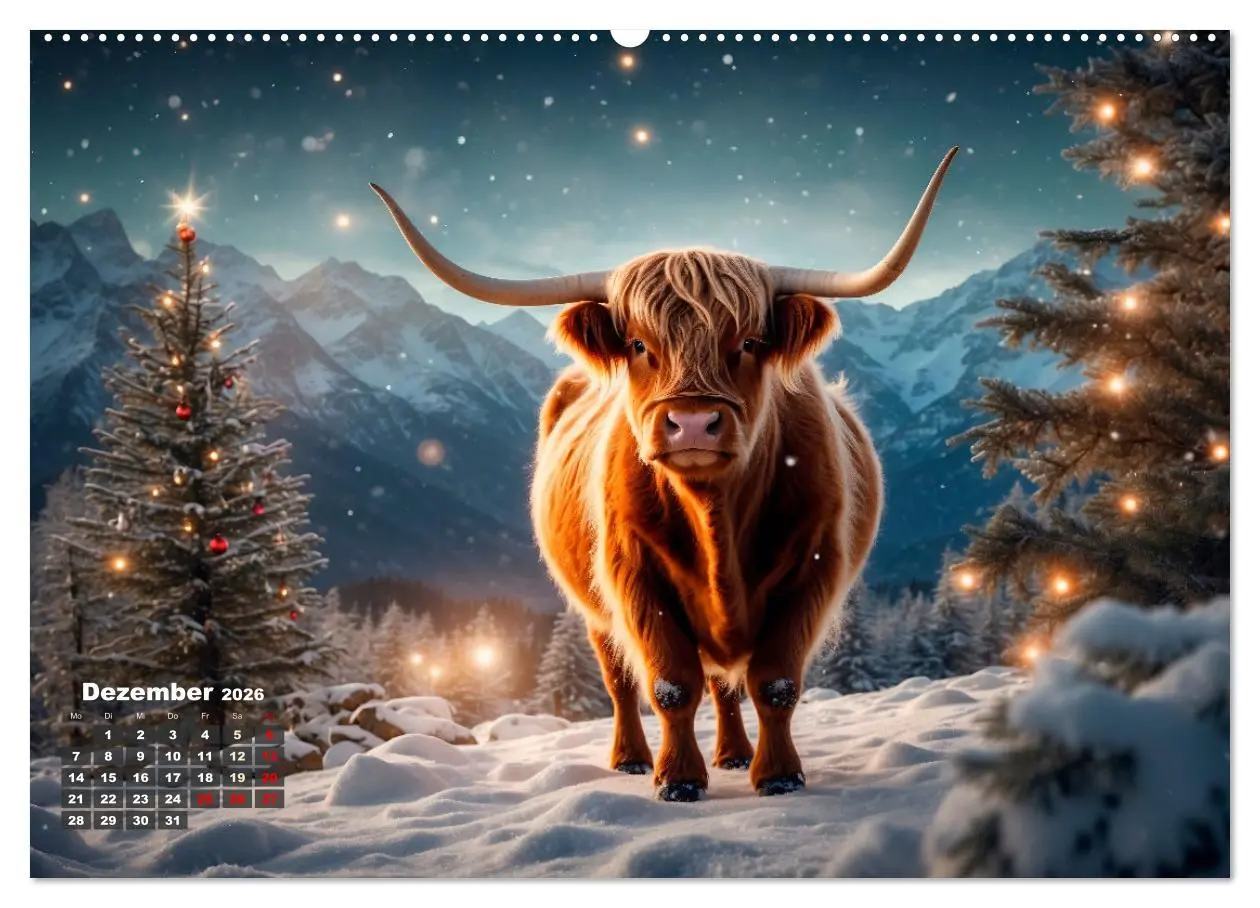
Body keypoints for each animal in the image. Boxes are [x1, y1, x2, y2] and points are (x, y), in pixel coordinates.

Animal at [369, 147, 958, 801]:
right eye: (637, 344)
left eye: (748, 341)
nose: (694, 423)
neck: (715, 517)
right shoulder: (632, 572)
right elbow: (670, 683)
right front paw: (676, 780)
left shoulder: (814, 567)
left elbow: (775, 682)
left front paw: (778, 775)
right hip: (591, 609)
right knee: (621, 680)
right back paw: (630, 758)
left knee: (726, 684)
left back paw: (734, 753)